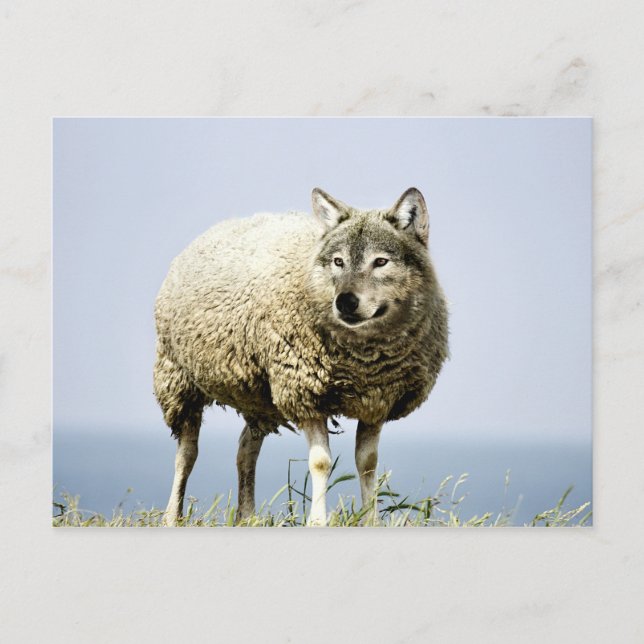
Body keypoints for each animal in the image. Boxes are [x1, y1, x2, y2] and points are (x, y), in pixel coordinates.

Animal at [153, 187, 449, 526]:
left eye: (381, 261)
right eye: (338, 261)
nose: (345, 302)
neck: (364, 361)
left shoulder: (376, 401)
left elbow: (368, 463)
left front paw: (371, 520)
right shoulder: (305, 393)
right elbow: (321, 462)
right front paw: (318, 521)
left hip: (259, 397)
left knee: (246, 449)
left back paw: (247, 516)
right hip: (178, 379)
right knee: (187, 453)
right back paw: (172, 516)